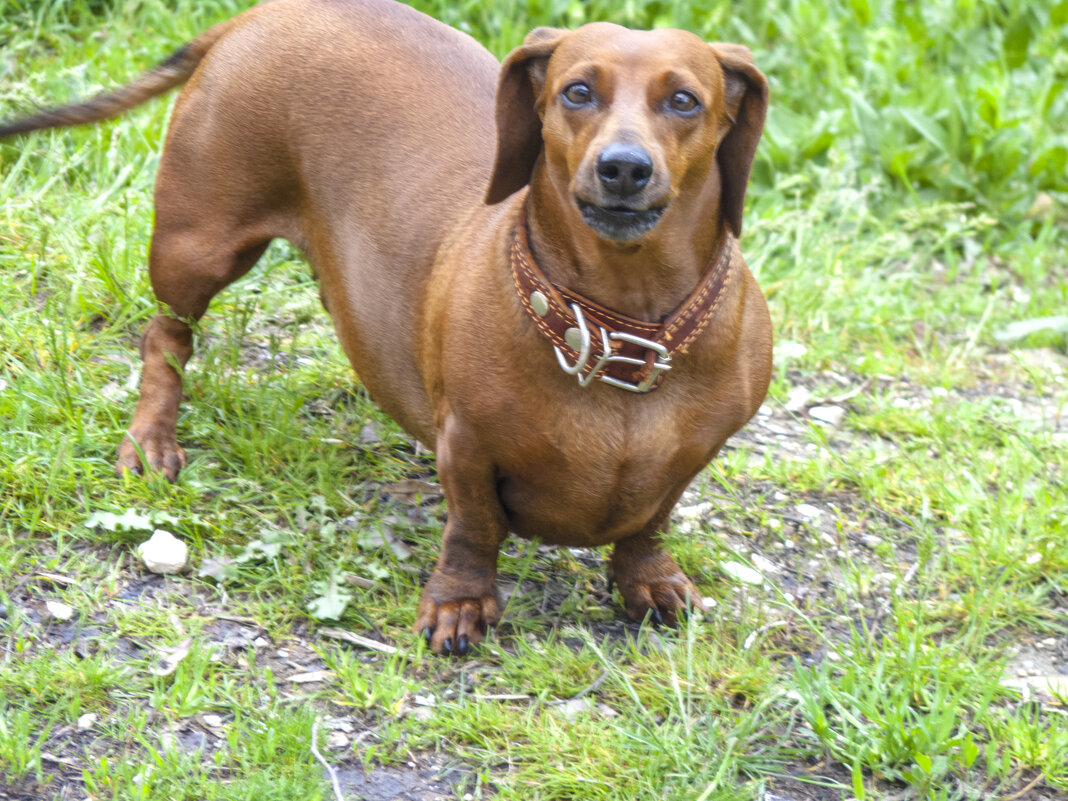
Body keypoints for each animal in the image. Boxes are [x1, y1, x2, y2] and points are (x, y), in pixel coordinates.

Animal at [0, 0, 768, 653]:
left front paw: (650, 581)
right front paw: (459, 603)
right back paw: (151, 441)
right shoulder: (467, 446)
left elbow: (650, 521)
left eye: (684, 100)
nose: (623, 168)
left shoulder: (694, 454)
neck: (615, 330)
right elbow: (474, 528)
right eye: (577, 92)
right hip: (197, 246)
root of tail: (260, 13)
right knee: (166, 337)